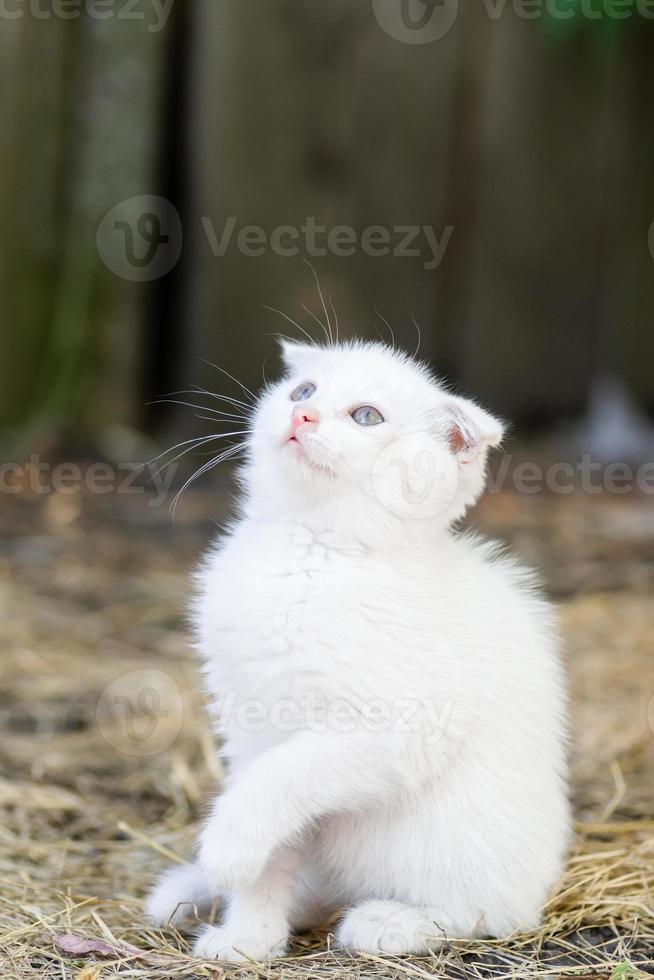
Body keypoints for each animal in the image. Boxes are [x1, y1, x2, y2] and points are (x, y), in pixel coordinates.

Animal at [146, 340, 572, 960]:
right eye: (303, 391)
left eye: (367, 416)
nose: (302, 415)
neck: (309, 547)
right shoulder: (251, 726)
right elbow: (273, 826)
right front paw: (248, 938)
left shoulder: (397, 731)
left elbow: (281, 778)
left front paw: (228, 847)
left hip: (458, 850)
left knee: (485, 912)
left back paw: (391, 922)